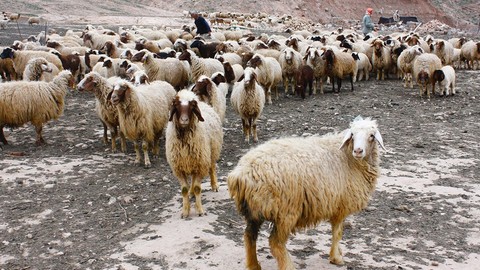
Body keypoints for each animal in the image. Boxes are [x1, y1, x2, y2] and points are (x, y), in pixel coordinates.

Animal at [166, 89, 224, 218]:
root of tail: (204, 104)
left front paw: (200, 210)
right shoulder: (179, 168)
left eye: (192, 106)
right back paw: (191, 192)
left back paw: (214, 185)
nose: (184, 120)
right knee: (192, 178)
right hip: (194, 161)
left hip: (211, 152)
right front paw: (185, 211)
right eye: (176, 105)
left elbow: (198, 188)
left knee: (212, 167)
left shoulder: (201, 163)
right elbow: (184, 190)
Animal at [228, 116, 386, 270]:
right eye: (352, 134)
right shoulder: (341, 206)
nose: (358, 151)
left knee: (249, 236)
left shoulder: (336, 204)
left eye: (371, 136)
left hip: (254, 211)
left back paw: (253, 265)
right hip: (286, 212)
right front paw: (336, 258)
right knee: (275, 242)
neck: (349, 158)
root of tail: (241, 173)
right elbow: (337, 233)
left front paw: (337, 254)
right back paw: (288, 266)